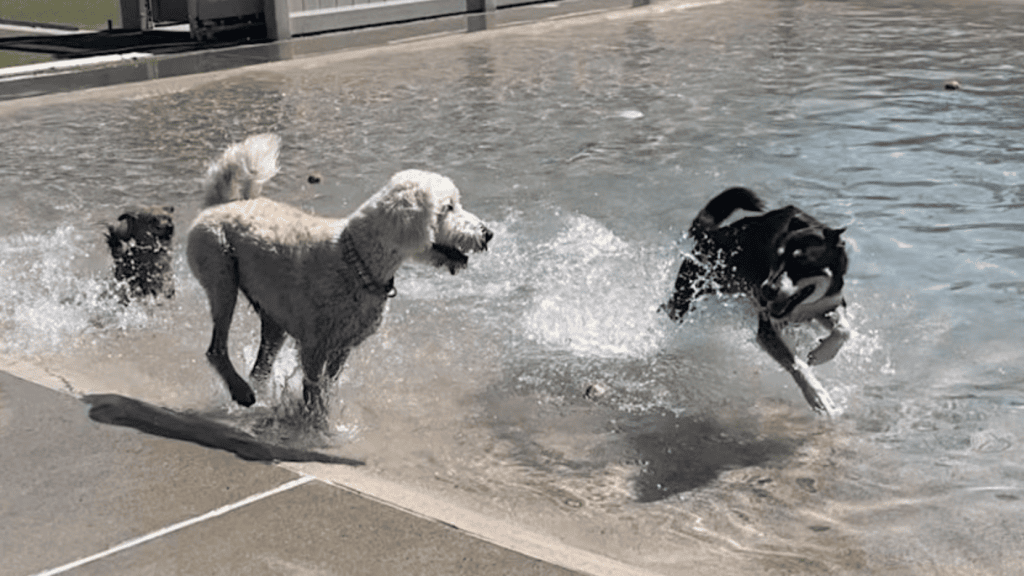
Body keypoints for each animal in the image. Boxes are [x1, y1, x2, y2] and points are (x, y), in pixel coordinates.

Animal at [192, 136, 495, 420]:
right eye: (448, 208)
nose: (488, 233)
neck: (357, 261)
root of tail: (223, 203)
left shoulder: (341, 348)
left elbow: (328, 387)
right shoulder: (314, 348)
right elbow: (313, 392)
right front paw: (315, 427)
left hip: (273, 317)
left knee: (259, 367)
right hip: (221, 275)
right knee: (216, 349)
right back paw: (241, 391)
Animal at [663, 186, 847, 414]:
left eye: (800, 263)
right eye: (776, 258)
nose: (766, 290)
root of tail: (710, 235)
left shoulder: (827, 304)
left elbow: (843, 329)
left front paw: (823, 353)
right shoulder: (768, 328)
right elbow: (797, 364)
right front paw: (817, 396)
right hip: (684, 296)